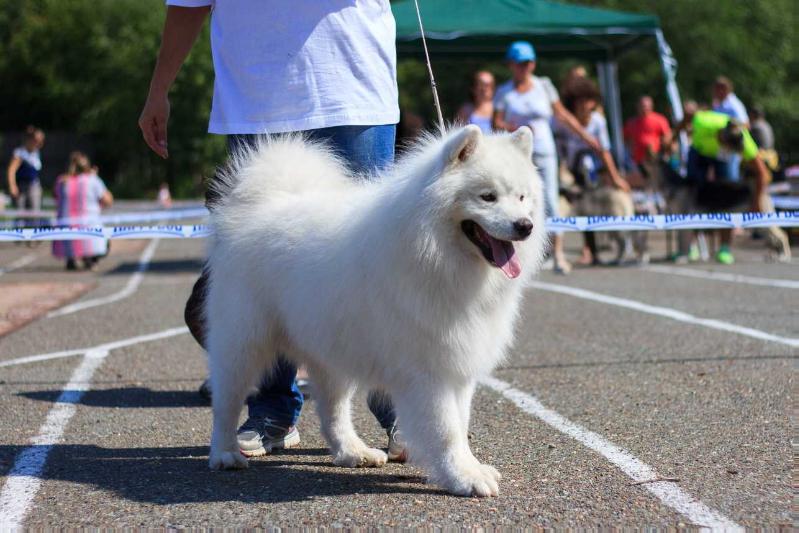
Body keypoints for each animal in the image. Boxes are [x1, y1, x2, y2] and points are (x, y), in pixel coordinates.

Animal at [205, 123, 552, 494]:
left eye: (522, 197)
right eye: (487, 196)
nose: (525, 226)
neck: (436, 257)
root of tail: (263, 204)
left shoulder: (457, 361)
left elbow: (460, 423)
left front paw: (467, 469)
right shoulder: (428, 369)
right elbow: (446, 429)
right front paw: (464, 477)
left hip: (332, 349)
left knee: (333, 411)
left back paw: (353, 452)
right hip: (242, 344)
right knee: (226, 403)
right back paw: (225, 454)